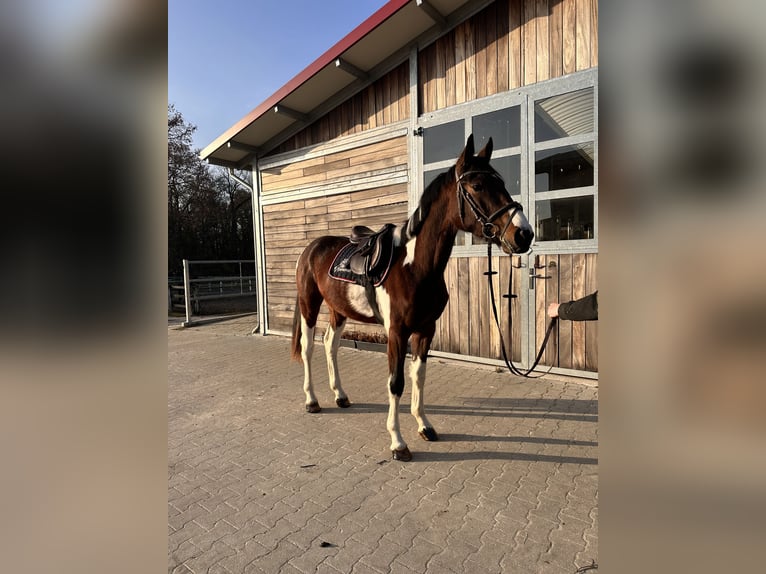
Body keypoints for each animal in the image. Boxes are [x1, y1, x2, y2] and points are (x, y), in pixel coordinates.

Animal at [291, 135, 534, 461]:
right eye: (477, 186)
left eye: (502, 182)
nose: (524, 234)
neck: (415, 267)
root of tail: (312, 248)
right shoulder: (397, 332)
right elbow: (396, 383)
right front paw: (398, 442)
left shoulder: (426, 329)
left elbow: (418, 376)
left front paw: (424, 426)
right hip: (310, 305)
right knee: (308, 349)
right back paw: (312, 401)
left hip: (338, 310)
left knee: (330, 345)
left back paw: (340, 395)